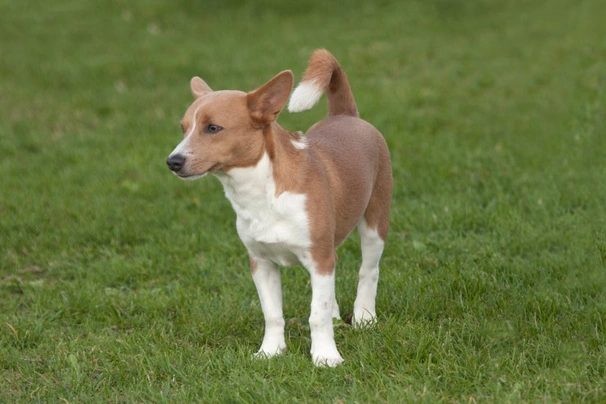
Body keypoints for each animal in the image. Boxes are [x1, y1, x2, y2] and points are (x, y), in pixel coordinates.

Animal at [166, 49, 394, 366]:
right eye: (183, 129)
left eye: (213, 128)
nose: (172, 162)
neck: (260, 195)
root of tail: (345, 115)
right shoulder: (261, 263)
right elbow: (273, 314)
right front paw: (270, 352)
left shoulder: (319, 258)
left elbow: (317, 315)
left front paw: (325, 356)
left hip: (375, 224)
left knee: (368, 271)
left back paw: (364, 316)